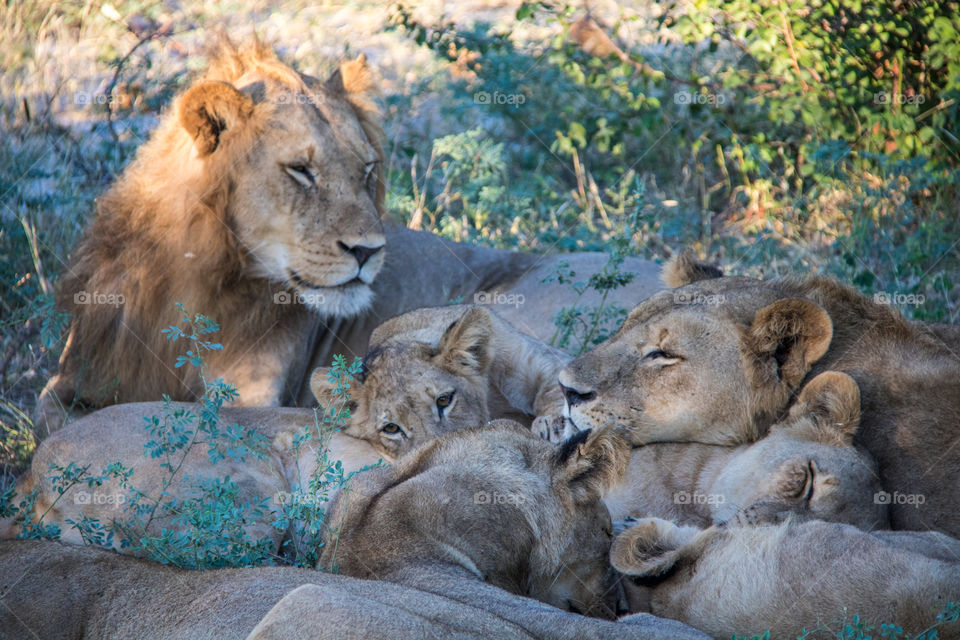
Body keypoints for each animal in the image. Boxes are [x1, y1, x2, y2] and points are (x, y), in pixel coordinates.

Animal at [36, 37, 665, 436]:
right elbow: (51, 418)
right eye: (301, 170)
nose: (367, 251)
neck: (199, 271)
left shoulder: (254, 393)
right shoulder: (73, 376)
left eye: (366, 170)